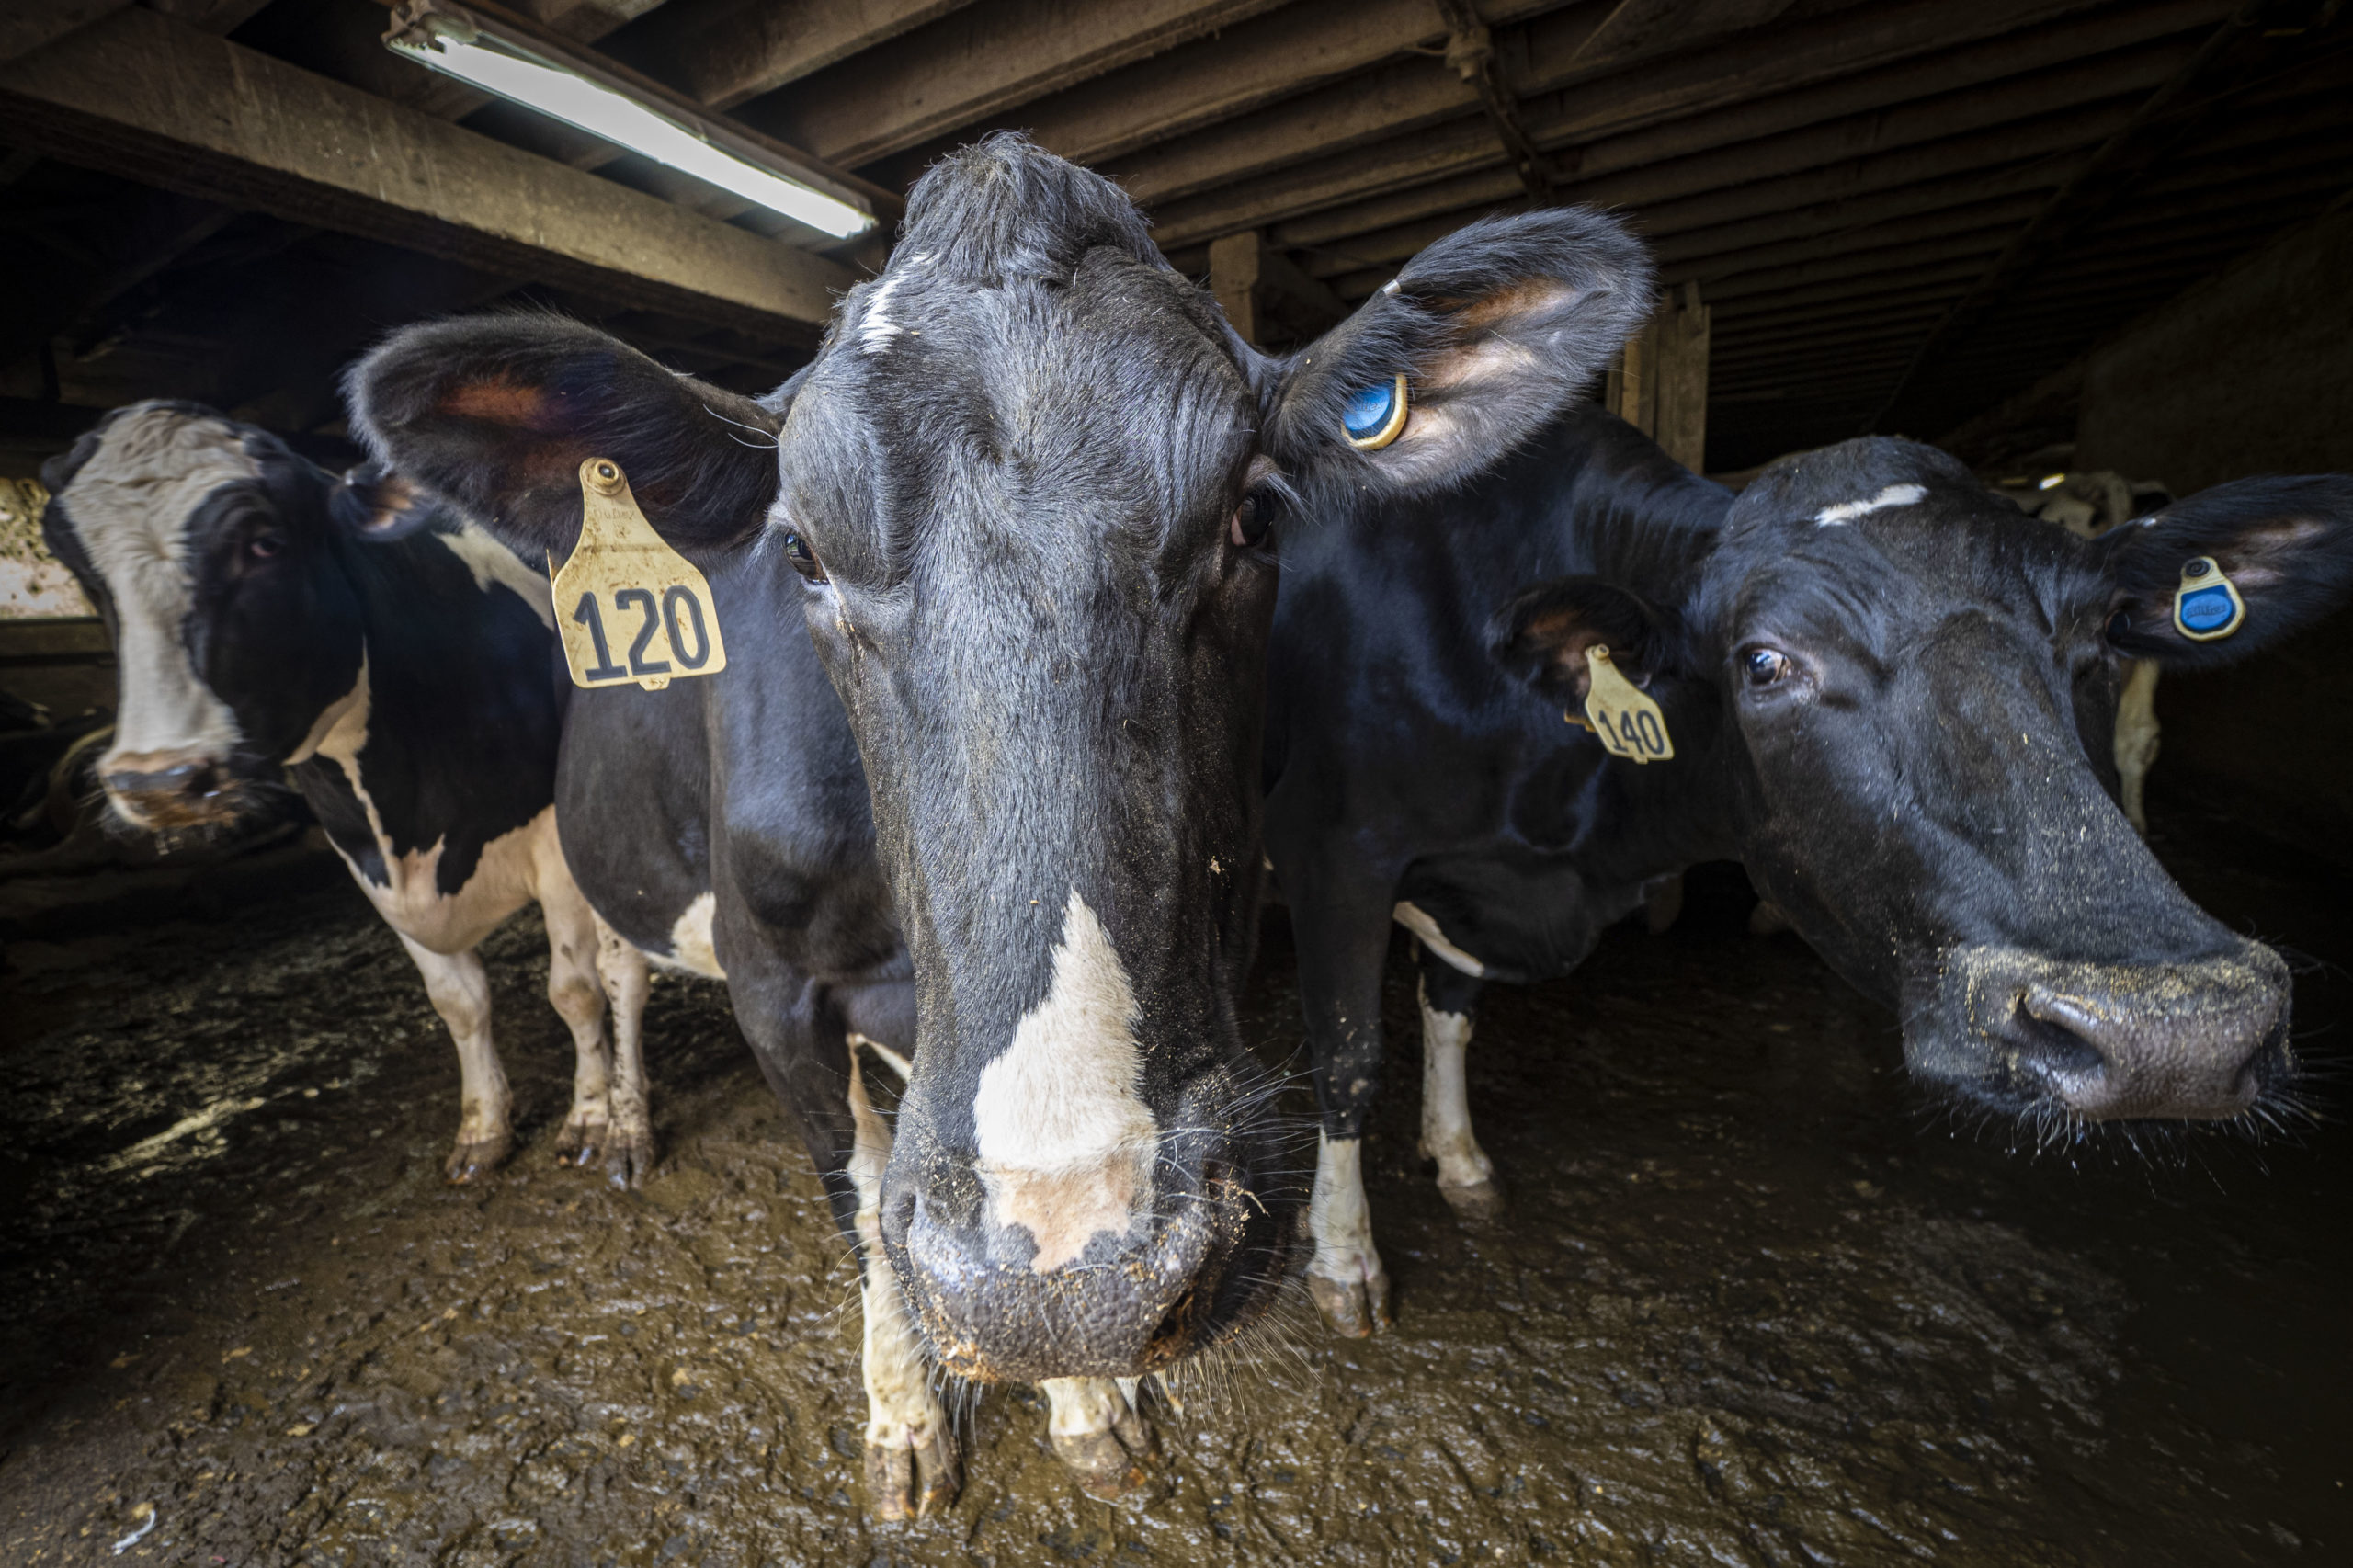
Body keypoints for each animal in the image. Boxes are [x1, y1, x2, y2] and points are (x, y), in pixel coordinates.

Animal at [37, 400, 658, 1187]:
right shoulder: (368, 861)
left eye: (265, 541)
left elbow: (575, 990)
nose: (157, 780)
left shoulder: (556, 845)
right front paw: (483, 1127)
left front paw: (592, 1117)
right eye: (85, 574)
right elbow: (458, 1001)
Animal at [341, 137, 1656, 1516]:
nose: (1081, 1251)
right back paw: (619, 1122)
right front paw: (906, 1414)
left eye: (1256, 512)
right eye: (800, 552)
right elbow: (861, 1197)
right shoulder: (772, 985)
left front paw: (1082, 1391)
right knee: (609, 978)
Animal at [1270, 404, 2353, 1327]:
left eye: (2099, 642)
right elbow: (1350, 1056)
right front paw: (1342, 1256)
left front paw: (1457, 1158)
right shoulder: (1340, 857)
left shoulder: (1472, 890)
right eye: (1763, 661)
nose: (2177, 1029)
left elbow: (1451, 1010)